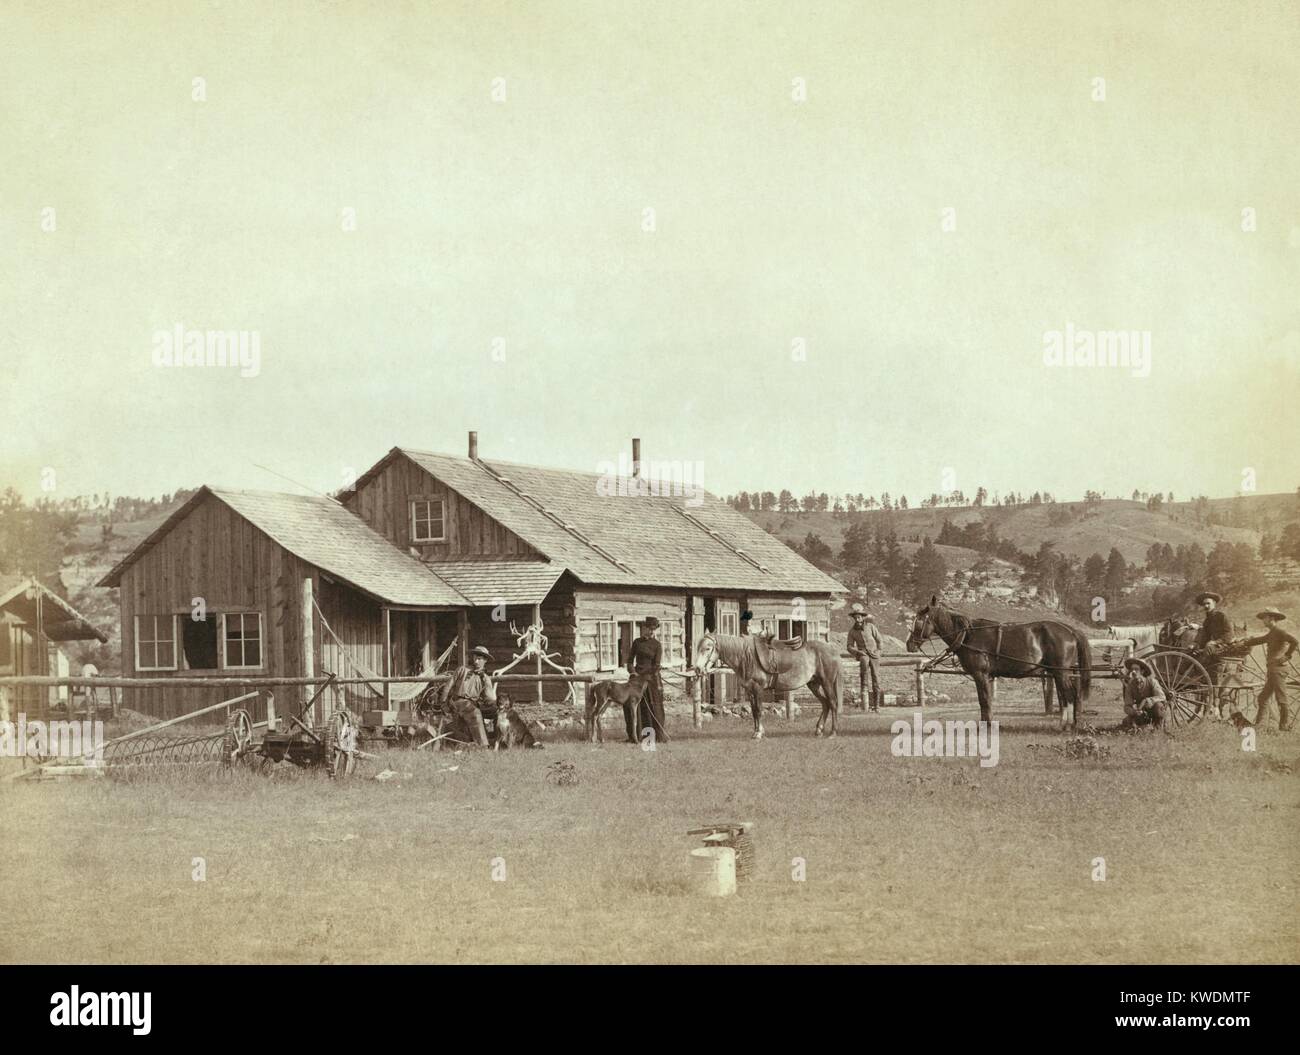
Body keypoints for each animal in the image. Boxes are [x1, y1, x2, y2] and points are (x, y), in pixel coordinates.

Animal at [691, 631, 842, 737]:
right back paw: (819, 730)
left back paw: (833, 732)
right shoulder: (750, 690)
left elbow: (758, 710)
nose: (697, 669)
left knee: (833, 703)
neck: (747, 657)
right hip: (814, 684)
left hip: (827, 683)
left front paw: (758, 734)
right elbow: (753, 711)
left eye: (707, 648)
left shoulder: (758, 689)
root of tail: (832, 650)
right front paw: (757, 731)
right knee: (825, 703)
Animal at [909, 602, 1092, 727]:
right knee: (1067, 695)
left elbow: (984, 700)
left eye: (919, 622)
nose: (909, 644)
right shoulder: (987, 676)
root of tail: (1071, 630)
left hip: (1061, 672)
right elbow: (986, 700)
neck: (968, 635)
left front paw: (987, 726)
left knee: (1070, 694)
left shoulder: (980, 674)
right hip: (1056, 672)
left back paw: (1068, 725)